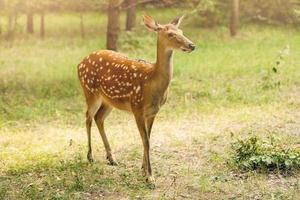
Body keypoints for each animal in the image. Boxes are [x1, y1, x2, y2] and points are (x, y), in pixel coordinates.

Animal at [76, 14, 196, 183]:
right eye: (170, 34)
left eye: (181, 31)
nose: (192, 45)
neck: (152, 83)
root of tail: (79, 63)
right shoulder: (137, 108)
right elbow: (146, 141)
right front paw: (150, 177)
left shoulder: (153, 112)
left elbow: (149, 139)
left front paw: (143, 169)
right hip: (90, 91)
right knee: (88, 117)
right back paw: (90, 156)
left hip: (109, 100)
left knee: (99, 118)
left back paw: (111, 158)